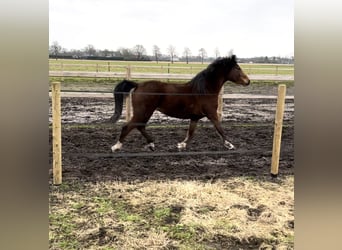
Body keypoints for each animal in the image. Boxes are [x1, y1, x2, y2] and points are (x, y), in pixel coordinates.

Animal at [111, 54, 250, 151]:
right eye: (237, 68)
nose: (248, 81)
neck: (205, 90)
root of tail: (138, 85)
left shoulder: (194, 117)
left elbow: (191, 133)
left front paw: (181, 145)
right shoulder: (211, 114)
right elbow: (219, 128)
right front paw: (230, 145)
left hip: (145, 112)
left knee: (140, 126)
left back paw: (151, 144)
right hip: (143, 111)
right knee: (129, 126)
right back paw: (116, 147)